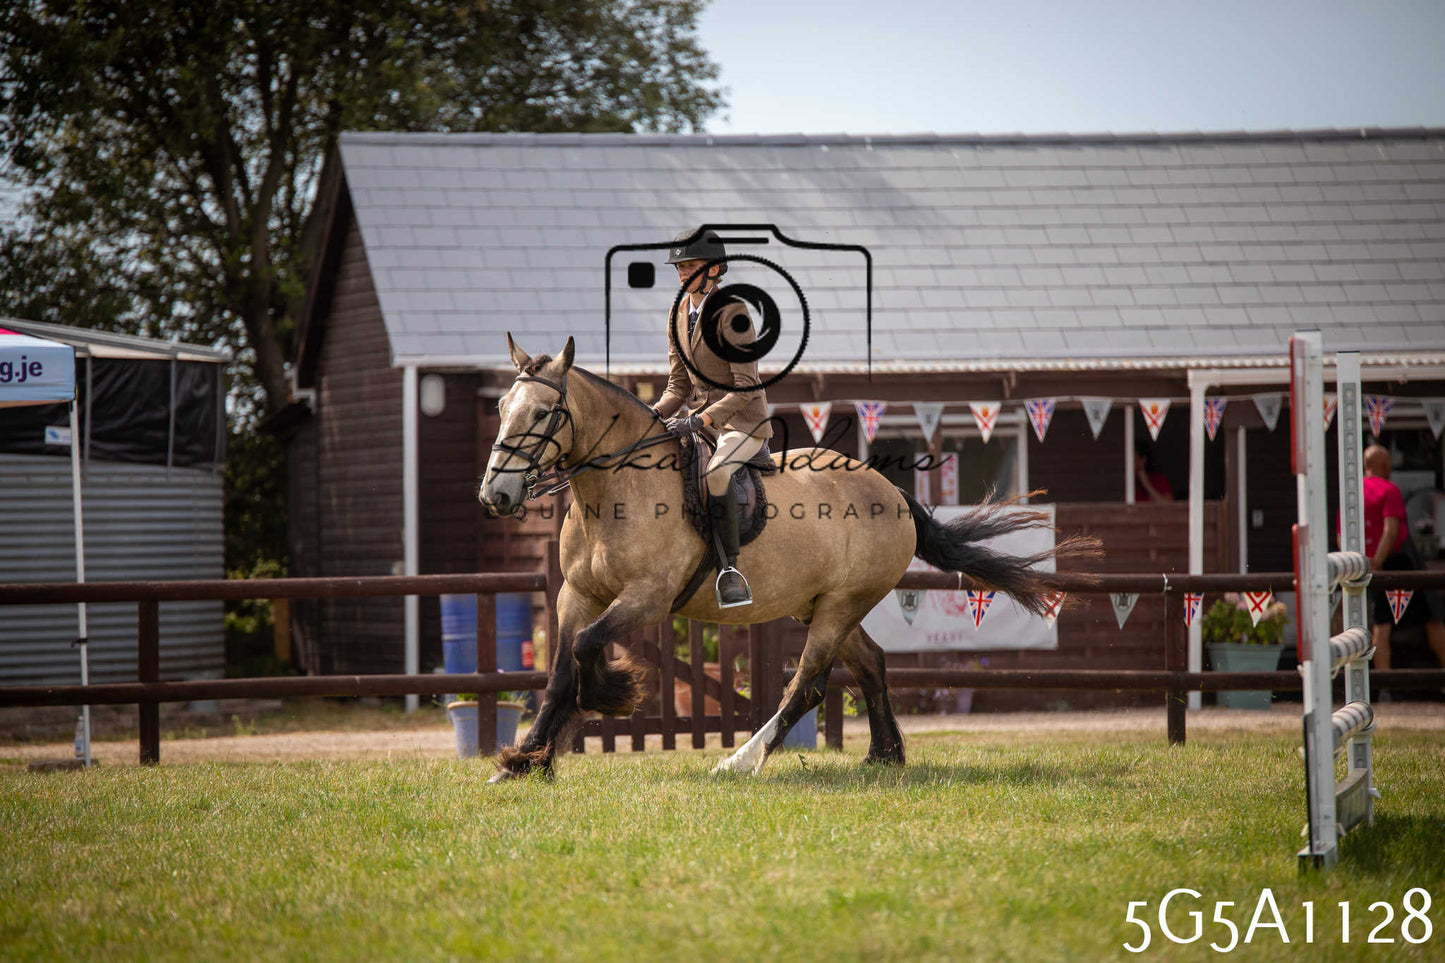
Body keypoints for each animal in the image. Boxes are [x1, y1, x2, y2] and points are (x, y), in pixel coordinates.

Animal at [479, 335, 1098, 780]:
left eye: (543, 413)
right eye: (503, 406)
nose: (496, 496)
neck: (615, 490)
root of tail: (894, 494)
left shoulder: (648, 599)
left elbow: (585, 650)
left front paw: (606, 697)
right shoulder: (577, 594)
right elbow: (561, 671)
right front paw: (525, 762)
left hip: (840, 605)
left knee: (809, 683)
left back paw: (741, 761)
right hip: (822, 605)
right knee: (870, 664)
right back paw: (883, 756)